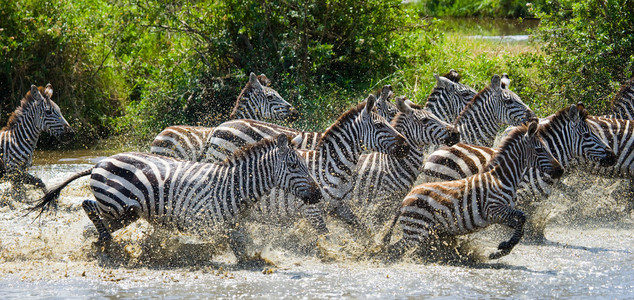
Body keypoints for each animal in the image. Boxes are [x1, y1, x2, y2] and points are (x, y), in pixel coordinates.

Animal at [30, 135, 320, 264]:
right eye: (294, 165)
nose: (318, 194)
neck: (232, 187)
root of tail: (99, 162)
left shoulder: (233, 226)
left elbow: (241, 250)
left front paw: (256, 261)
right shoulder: (204, 221)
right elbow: (210, 246)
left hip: (126, 212)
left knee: (93, 223)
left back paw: (99, 243)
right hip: (118, 203)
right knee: (88, 205)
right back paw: (106, 243)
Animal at [380, 120, 564, 258]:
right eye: (540, 149)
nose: (560, 170)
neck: (502, 179)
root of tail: (405, 199)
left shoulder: (501, 215)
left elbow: (520, 224)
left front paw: (502, 250)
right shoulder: (494, 210)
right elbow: (522, 217)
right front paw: (504, 247)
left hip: (419, 231)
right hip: (416, 231)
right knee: (394, 251)